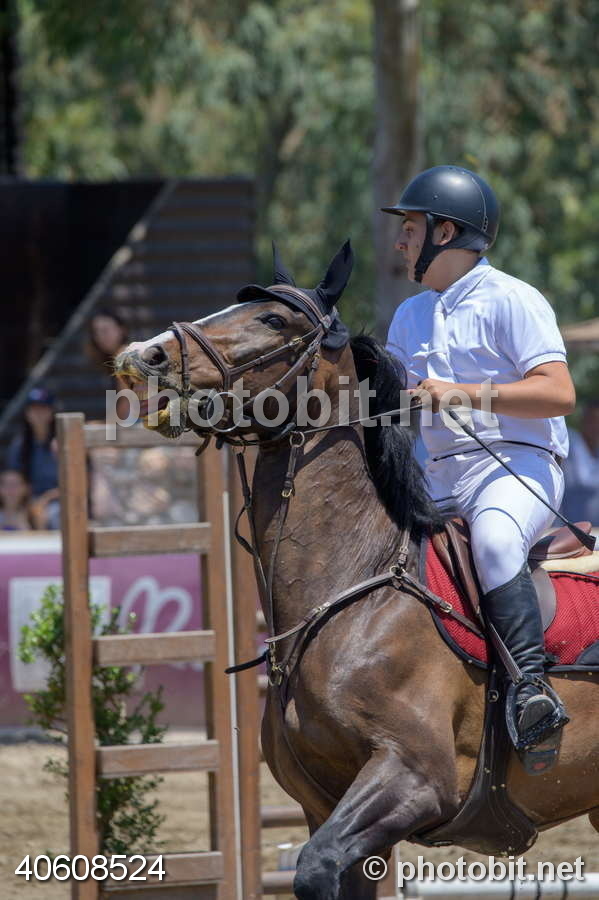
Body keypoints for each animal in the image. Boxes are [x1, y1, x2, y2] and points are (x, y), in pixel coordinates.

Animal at [115, 243, 599, 900]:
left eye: (273, 320)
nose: (148, 354)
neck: (353, 589)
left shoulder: (415, 779)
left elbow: (315, 866)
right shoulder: (325, 804)